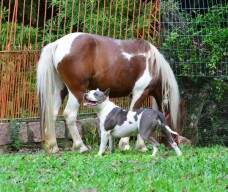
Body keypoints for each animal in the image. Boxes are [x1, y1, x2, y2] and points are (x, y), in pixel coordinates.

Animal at [37, 32, 180, 153]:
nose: (176, 141)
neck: (152, 63)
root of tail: (58, 44)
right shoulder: (140, 92)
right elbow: (134, 112)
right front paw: (130, 145)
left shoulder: (133, 95)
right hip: (76, 91)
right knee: (69, 115)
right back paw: (81, 146)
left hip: (61, 90)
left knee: (52, 114)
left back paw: (53, 147)